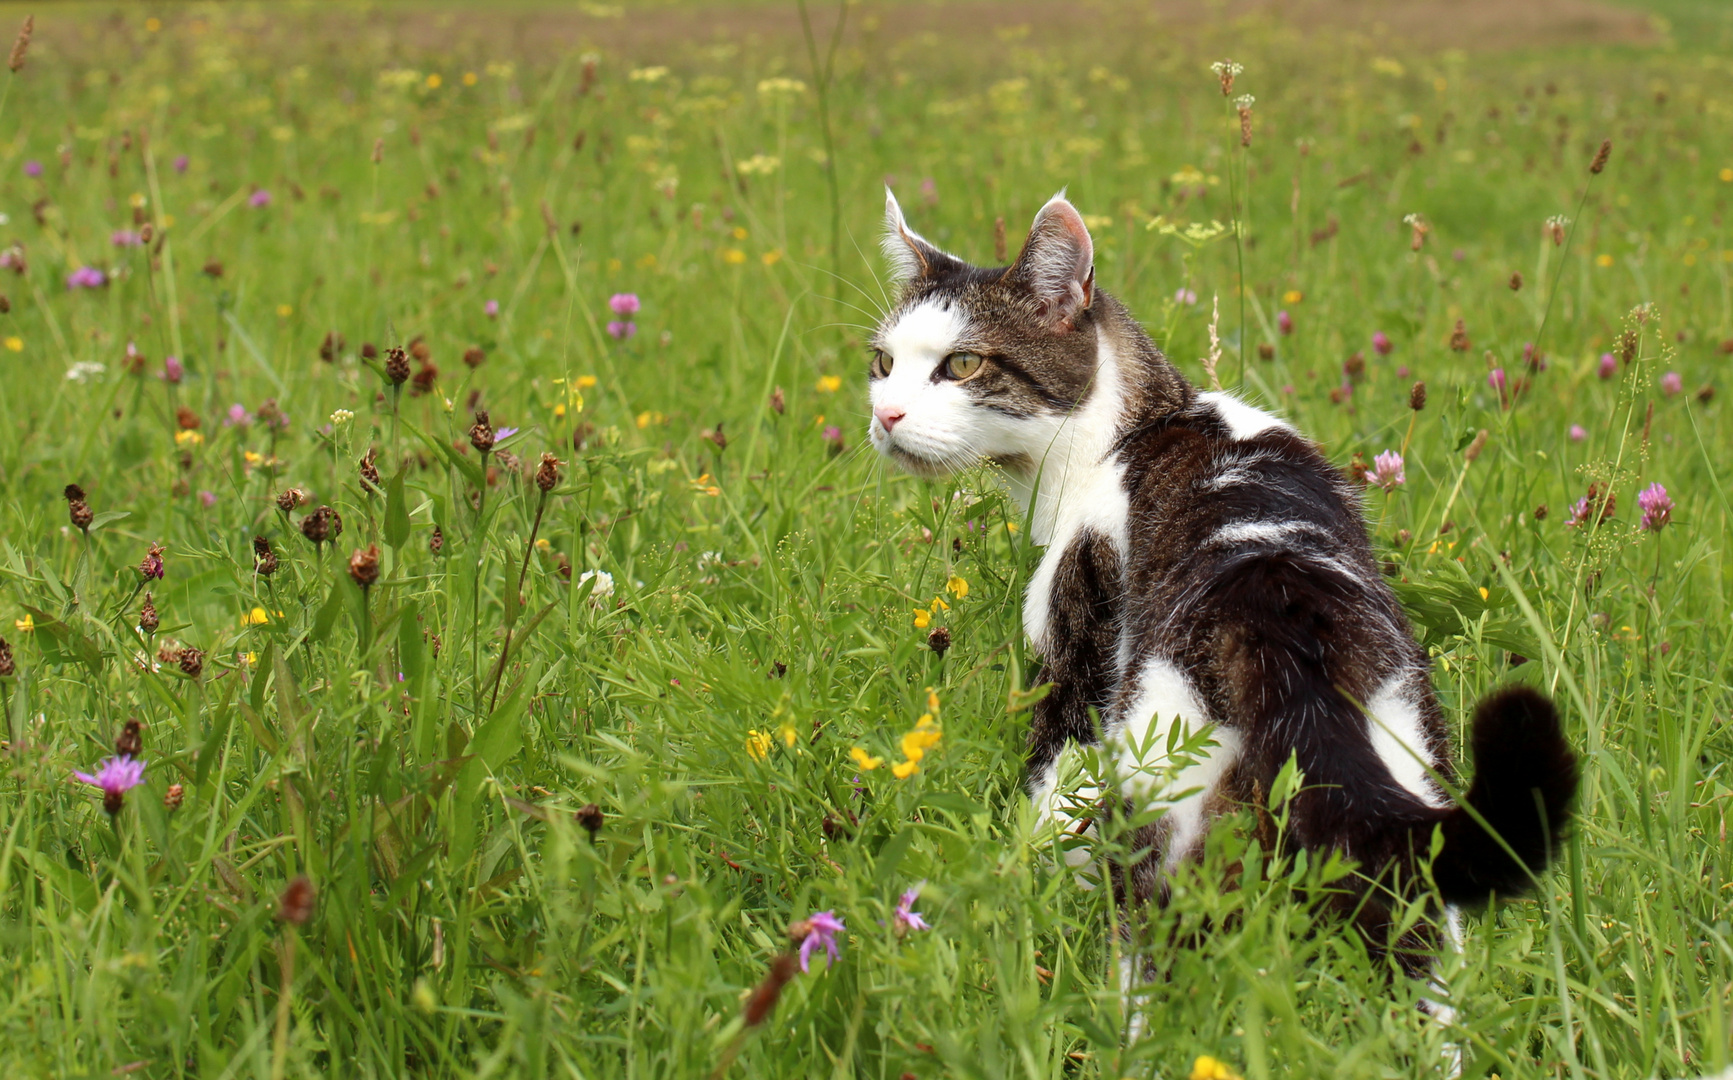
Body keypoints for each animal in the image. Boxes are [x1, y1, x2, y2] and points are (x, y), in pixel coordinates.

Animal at [859, 192, 1580, 998]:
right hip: (1402, 773)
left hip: (1160, 767)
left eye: (961, 364)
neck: (1134, 426)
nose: (884, 416)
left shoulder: (1076, 645)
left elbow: (1049, 795)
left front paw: (1013, 885)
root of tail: (1281, 616)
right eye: (883, 363)